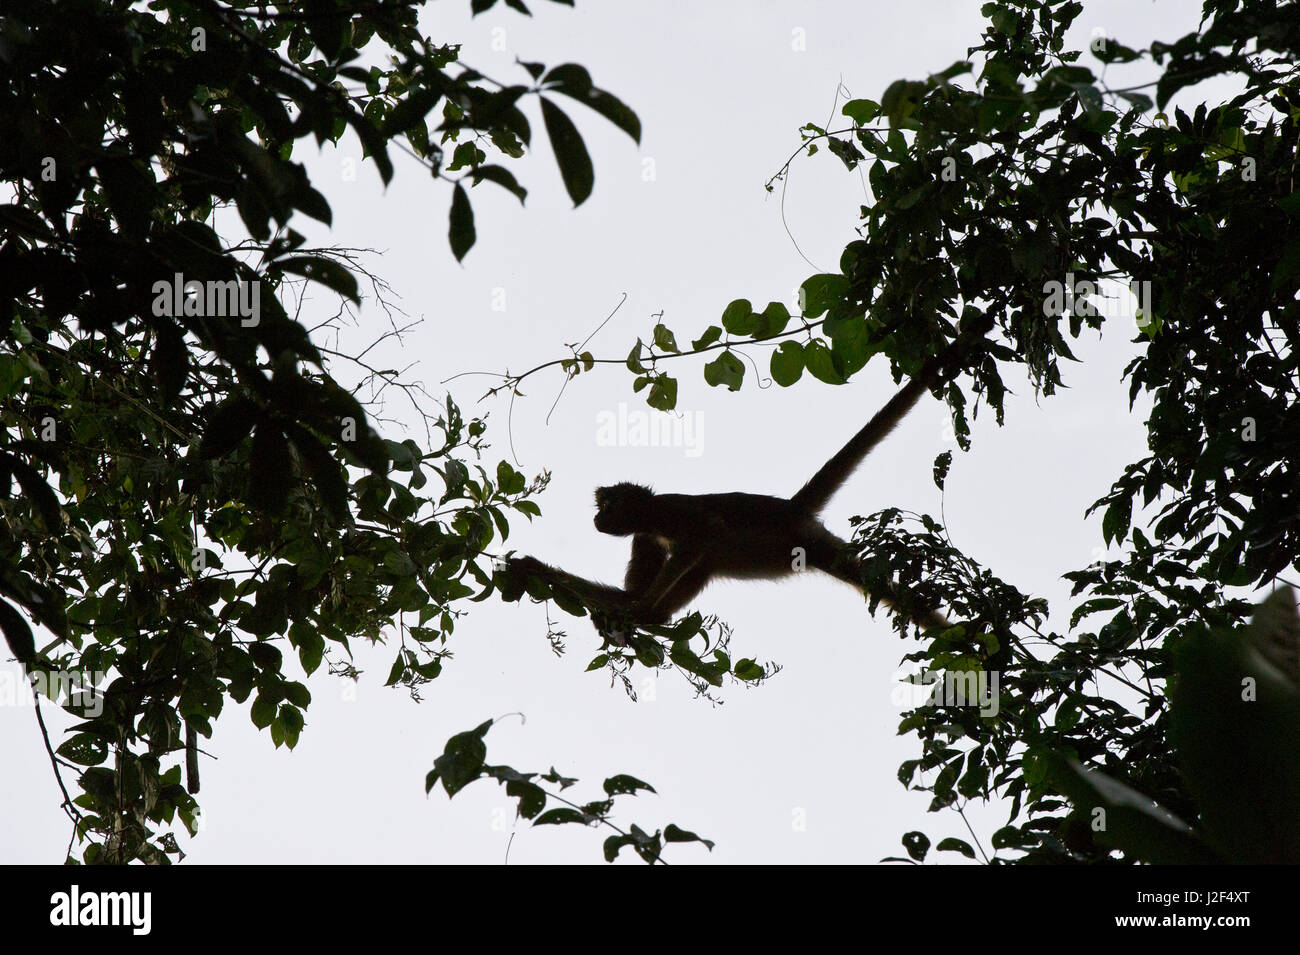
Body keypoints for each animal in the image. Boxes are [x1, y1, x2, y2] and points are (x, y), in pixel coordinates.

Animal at [509, 315, 993, 641]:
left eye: (608, 505)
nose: (597, 518)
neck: (651, 518)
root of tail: (788, 509)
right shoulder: (645, 535)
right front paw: (531, 567)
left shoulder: (669, 510)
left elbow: (706, 528)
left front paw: (641, 610)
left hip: (814, 545)